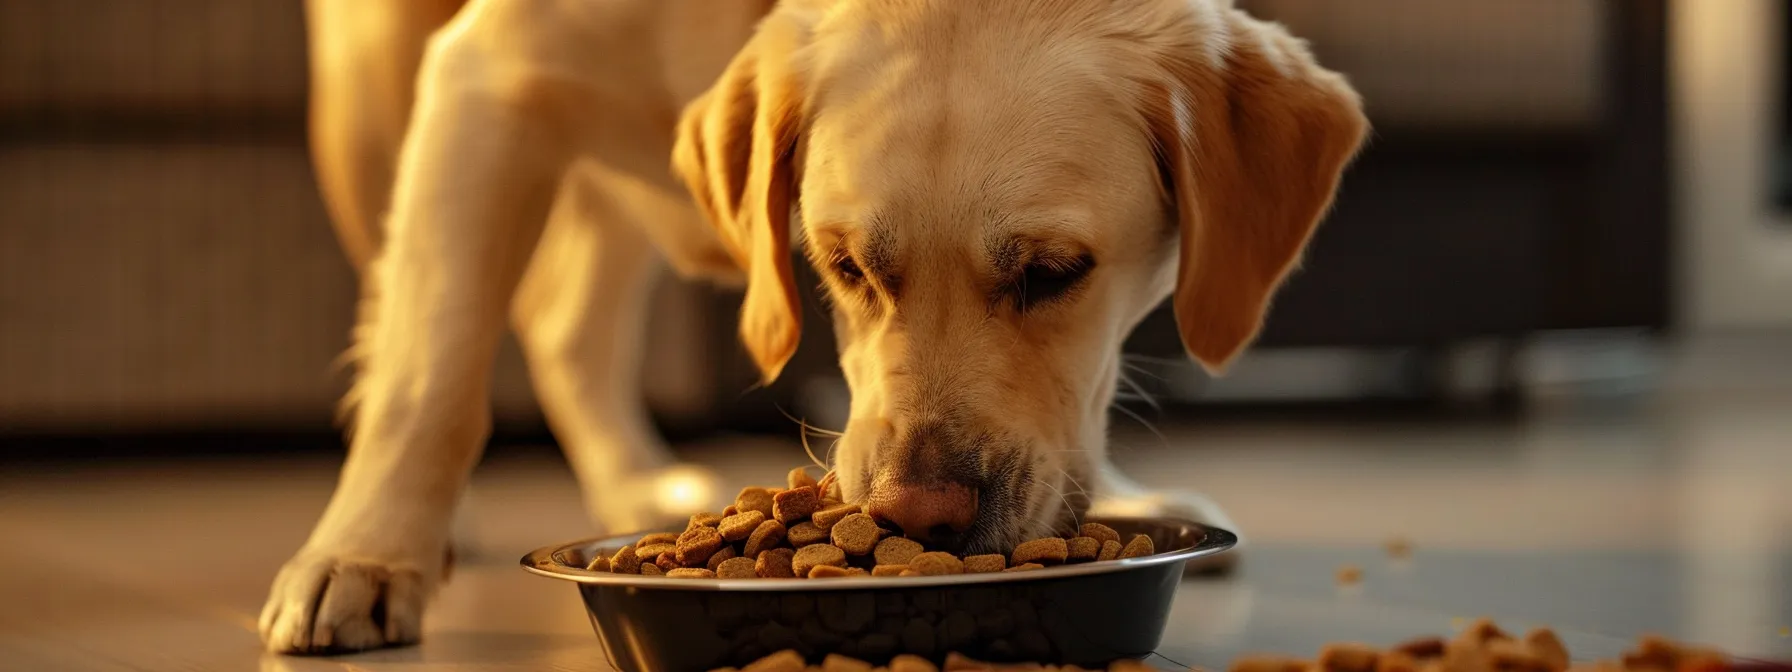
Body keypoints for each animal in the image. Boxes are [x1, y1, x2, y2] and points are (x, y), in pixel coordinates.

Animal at [261, 0, 1354, 655]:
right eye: (845, 266)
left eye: (1054, 273)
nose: (920, 517)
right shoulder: (484, 80)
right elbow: (431, 371)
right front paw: (363, 557)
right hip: (371, 108)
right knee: (400, 308)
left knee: (572, 330)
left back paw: (634, 481)